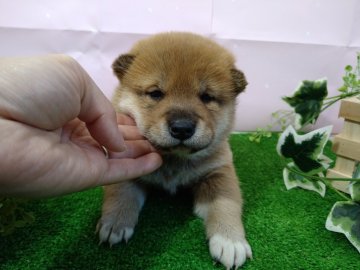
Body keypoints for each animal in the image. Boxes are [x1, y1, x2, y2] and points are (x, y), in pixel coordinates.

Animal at [97, 32, 252, 268]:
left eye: (206, 97)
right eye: (155, 93)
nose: (182, 128)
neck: (173, 162)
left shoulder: (219, 170)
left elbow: (226, 202)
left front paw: (230, 240)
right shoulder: (129, 163)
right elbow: (120, 191)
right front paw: (115, 222)